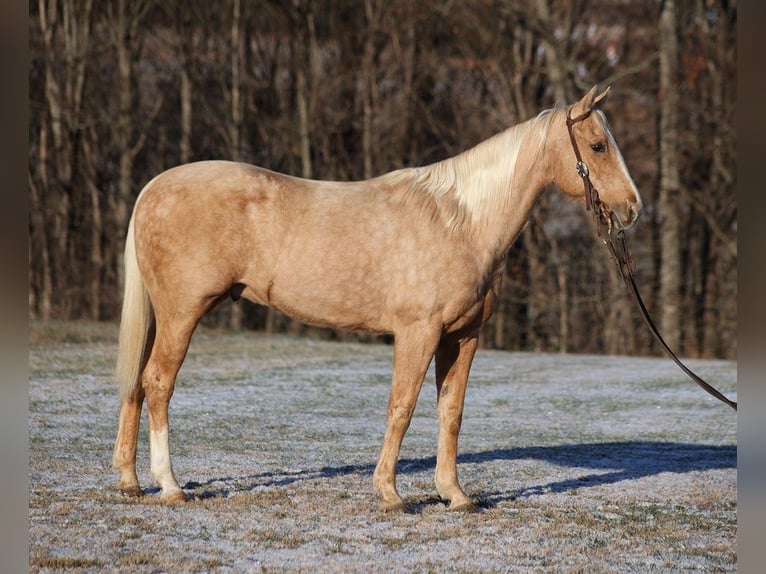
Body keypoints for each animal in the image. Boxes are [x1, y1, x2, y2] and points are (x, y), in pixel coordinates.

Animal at [112, 84, 640, 512]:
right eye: (597, 145)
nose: (632, 209)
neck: (462, 221)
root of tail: (154, 187)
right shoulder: (418, 332)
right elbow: (401, 407)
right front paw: (390, 494)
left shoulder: (462, 337)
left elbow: (451, 412)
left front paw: (455, 495)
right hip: (183, 313)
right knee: (158, 382)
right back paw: (171, 485)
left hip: (163, 316)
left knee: (137, 382)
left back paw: (130, 481)